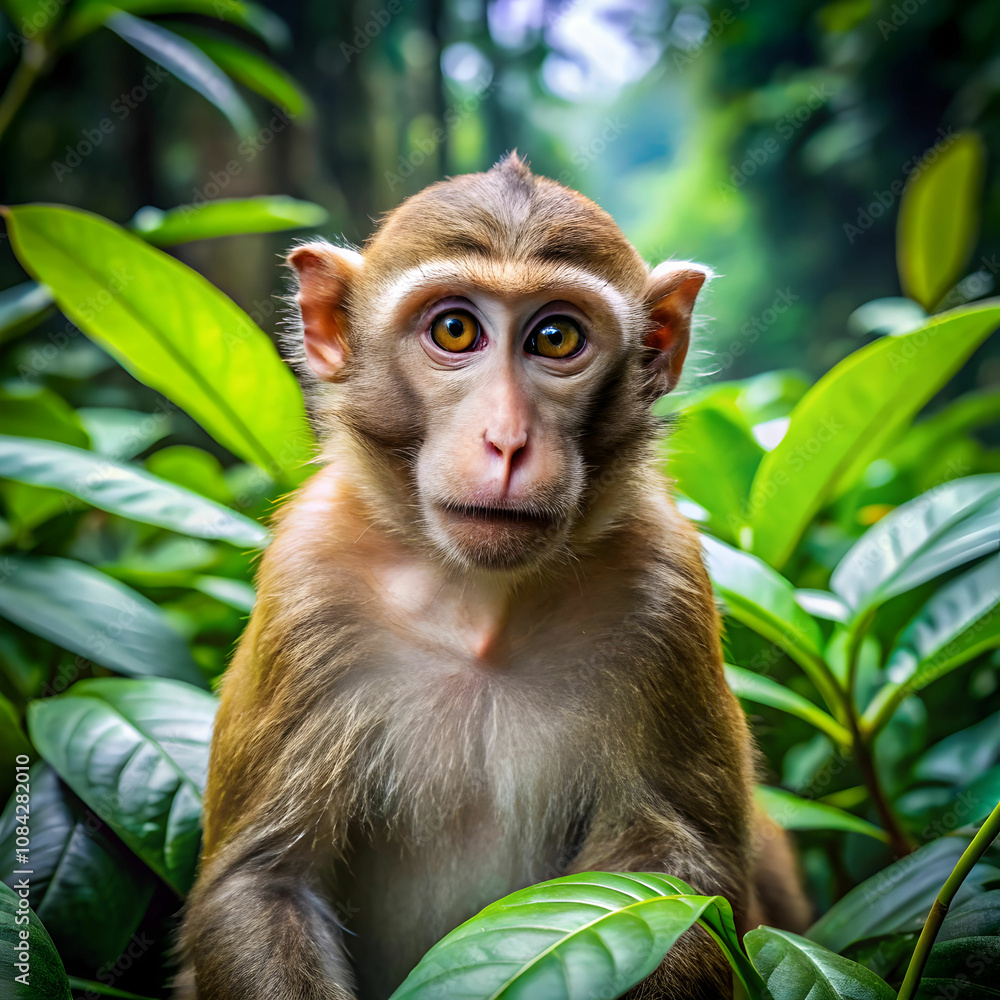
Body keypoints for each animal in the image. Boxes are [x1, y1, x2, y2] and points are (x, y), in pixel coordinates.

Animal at [176, 153, 810, 1000]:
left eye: (556, 337)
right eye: (455, 329)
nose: (507, 441)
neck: (478, 602)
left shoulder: (665, 586)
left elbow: (678, 871)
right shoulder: (308, 577)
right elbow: (262, 882)